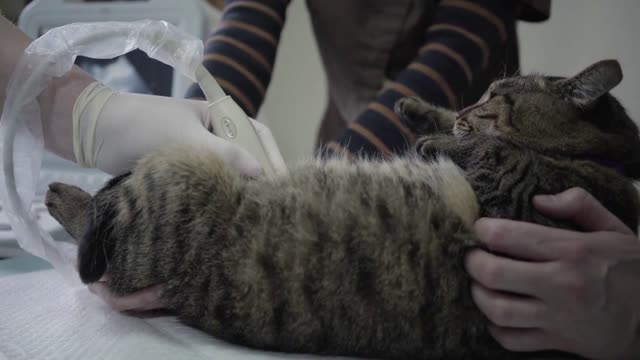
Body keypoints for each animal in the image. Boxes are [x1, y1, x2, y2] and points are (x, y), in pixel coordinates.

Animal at [45, 59, 640, 358]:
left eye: (497, 93)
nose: (473, 104)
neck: (605, 161)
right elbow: (453, 128)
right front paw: (420, 109)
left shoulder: (515, 193)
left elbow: (487, 150)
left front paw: (439, 133)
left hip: (169, 190)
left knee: (99, 223)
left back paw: (60, 196)